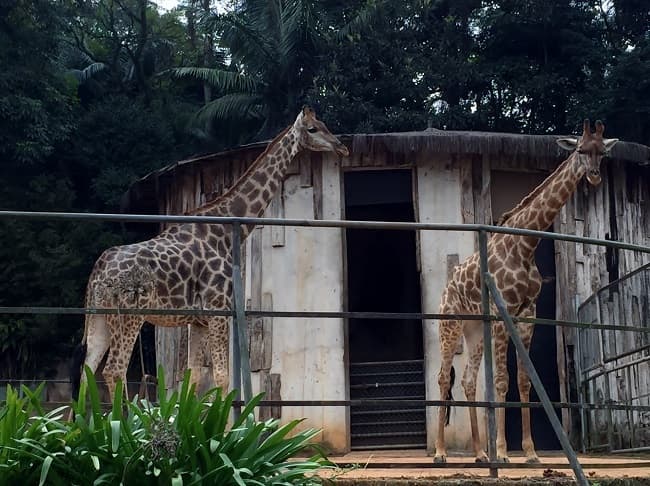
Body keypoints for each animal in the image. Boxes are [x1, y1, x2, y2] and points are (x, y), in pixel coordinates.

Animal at [73, 107, 346, 402]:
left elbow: (193, 379)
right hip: (128, 315)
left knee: (88, 370)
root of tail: (99, 269)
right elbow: (223, 377)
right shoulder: (218, 311)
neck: (224, 231)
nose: (341, 146)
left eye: (324, 125)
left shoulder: (198, 321)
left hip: (99, 317)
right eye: (313, 129)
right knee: (114, 370)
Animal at [432, 120, 616, 464]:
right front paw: (504, 452)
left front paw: (529, 453)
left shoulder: (528, 313)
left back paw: (480, 453)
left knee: (467, 380)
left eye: (602, 152)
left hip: (475, 330)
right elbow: (502, 381)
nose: (595, 176)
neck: (526, 246)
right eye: (580, 150)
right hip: (449, 325)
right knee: (442, 377)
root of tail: (446, 287)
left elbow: (523, 380)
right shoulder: (503, 312)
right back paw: (440, 452)